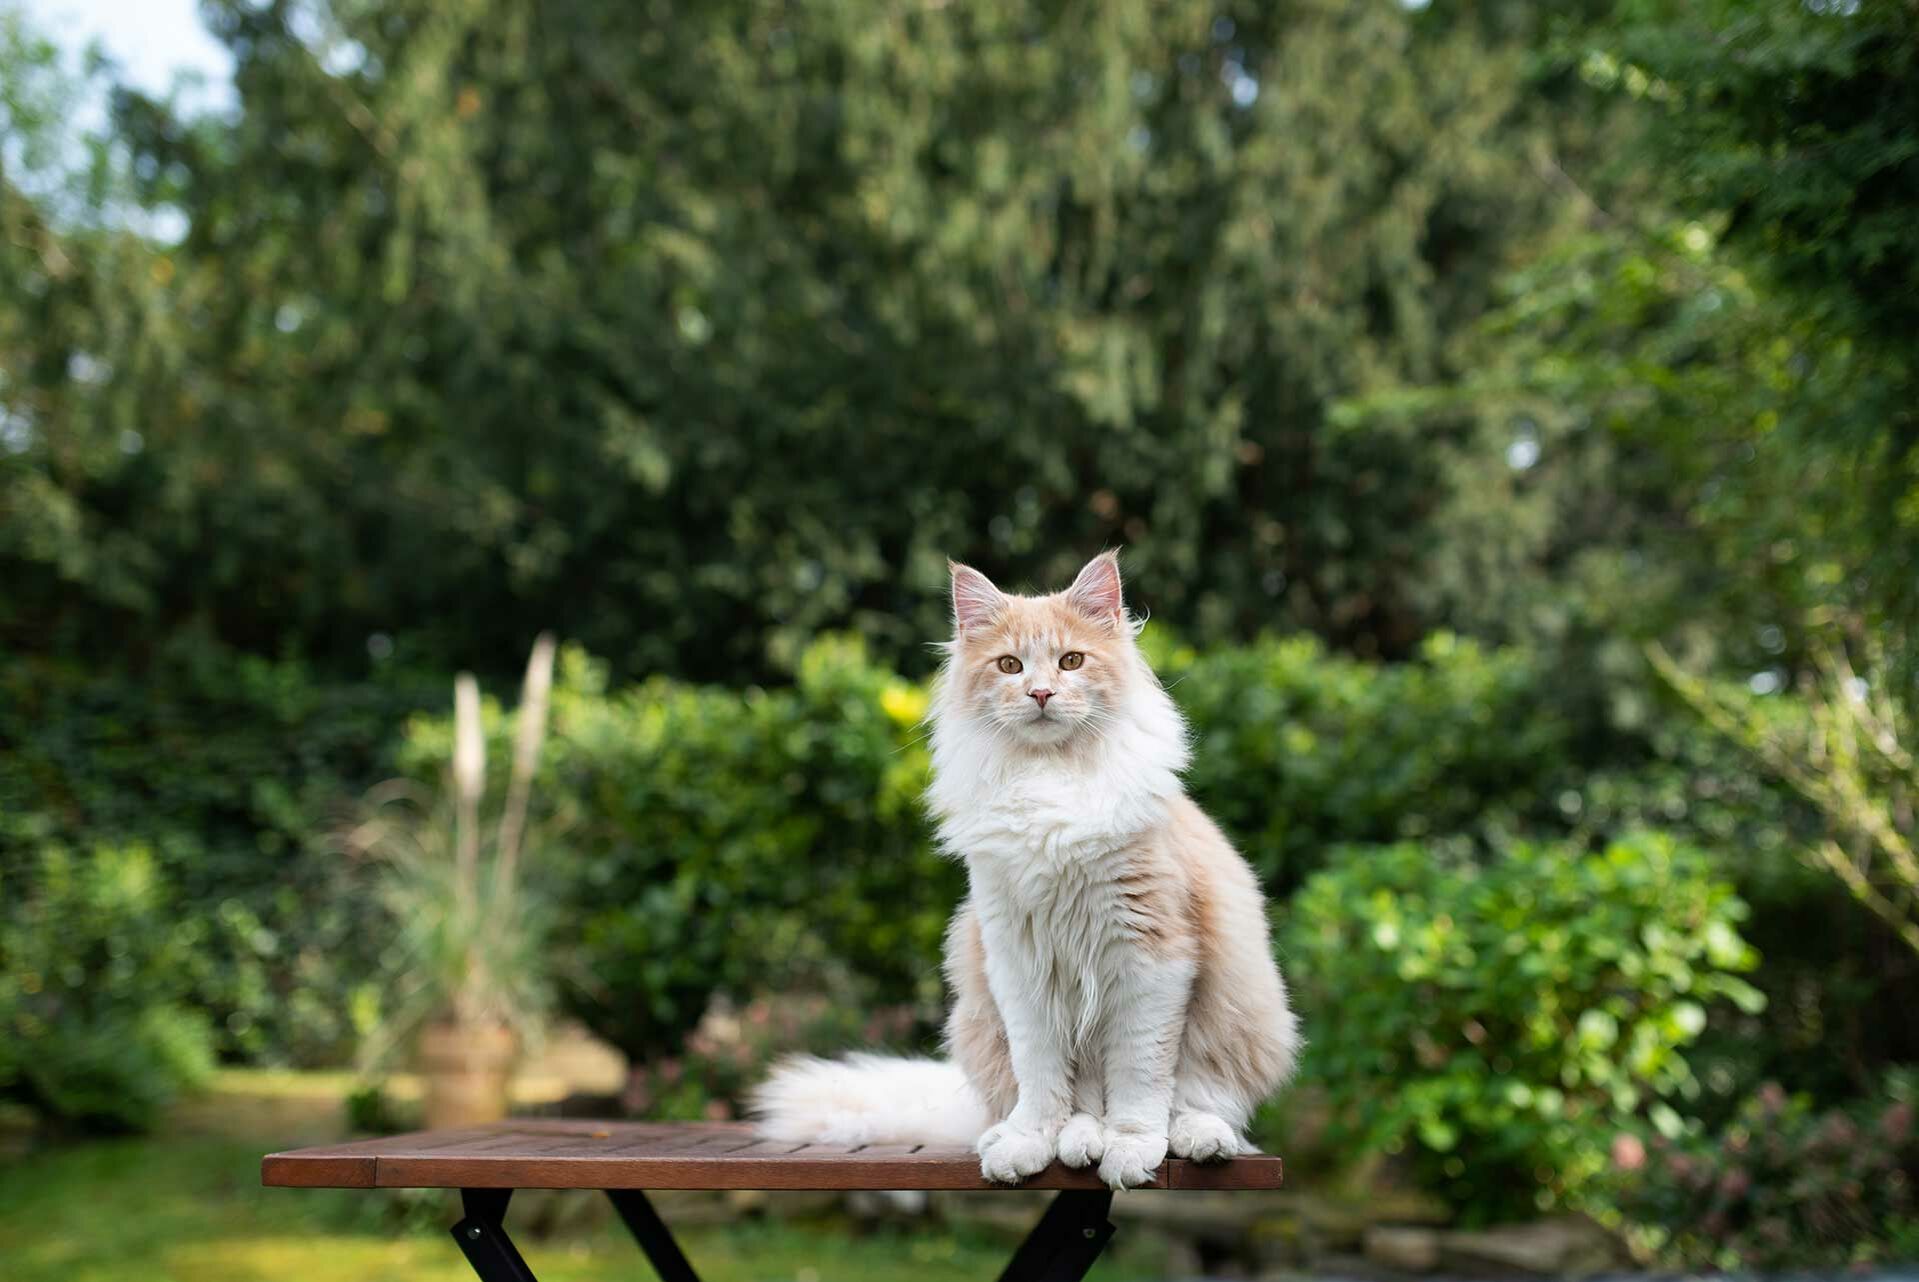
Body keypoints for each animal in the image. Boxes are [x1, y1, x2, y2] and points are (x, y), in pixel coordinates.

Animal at [752, 552, 1304, 1189]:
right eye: (1010, 666)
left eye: (1071, 661)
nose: (1041, 693)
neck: (1049, 780)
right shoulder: (1017, 962)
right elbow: (1041, 1078)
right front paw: (1030, 1144)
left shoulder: (1151, 957)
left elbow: (1140, 1079)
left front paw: (1133, 1148)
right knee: (1071, 1107)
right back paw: (1057, 1140)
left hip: (1246, 1013)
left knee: (1203, 1100)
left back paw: (1196, 1139)